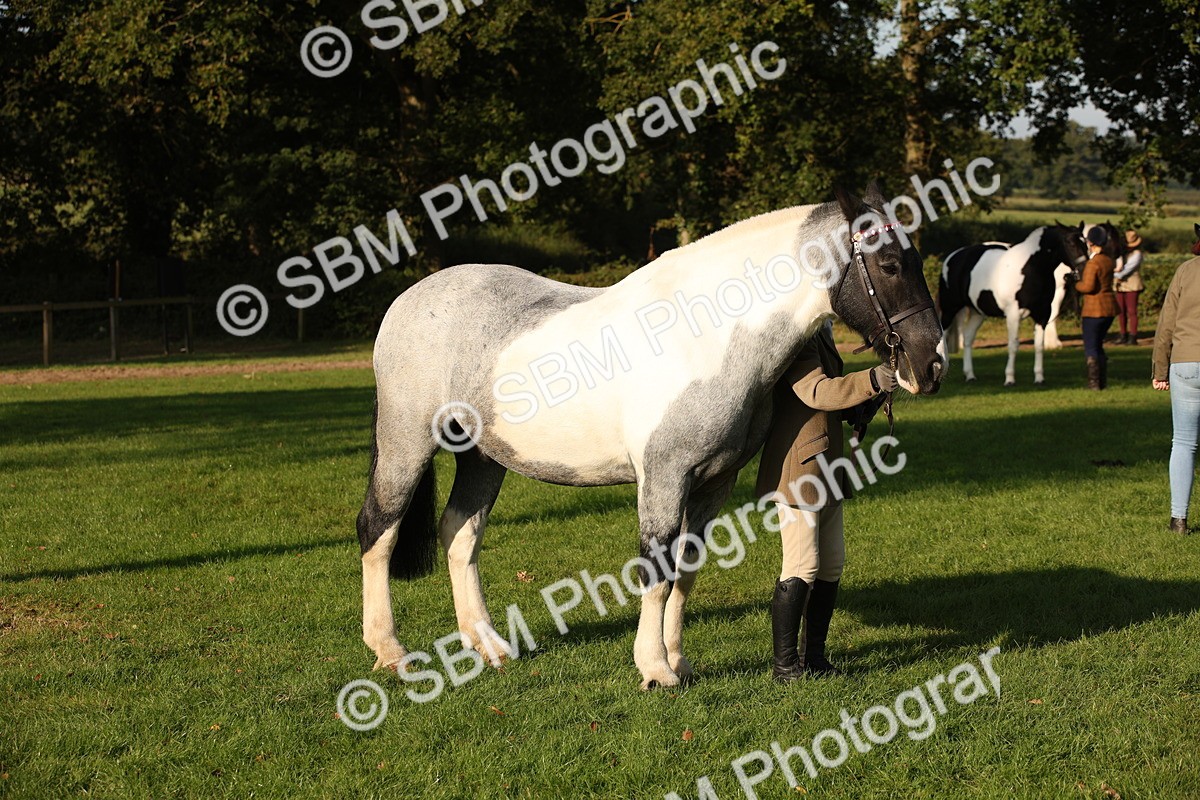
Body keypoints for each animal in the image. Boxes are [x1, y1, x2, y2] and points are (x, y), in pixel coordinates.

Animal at [356, 184, 946, 690]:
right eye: (890, 265)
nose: (930, 365)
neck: (705, 334)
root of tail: (409, 300)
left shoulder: (713, 483)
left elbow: (686, 571)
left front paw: (678, 661)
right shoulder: (663, 479)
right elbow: (656, 570)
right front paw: (655, 669)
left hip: (483, 456)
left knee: (459, 534)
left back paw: (490, 646)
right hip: (408, 442)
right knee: (378, 530)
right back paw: (392, 653)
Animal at [938, 223, 1089, 385]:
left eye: (1085, 243)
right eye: (1071, 243)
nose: (1083, 270)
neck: (1032, 269)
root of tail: (952, 257)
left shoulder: (1042, 315)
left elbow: (1039, 345)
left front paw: (1039, 377)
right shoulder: (1013, 315)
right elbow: (1013, 345)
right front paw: (1009, 378)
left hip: (977, 312)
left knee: (968, 338)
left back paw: (970, 375)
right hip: (949, 309)